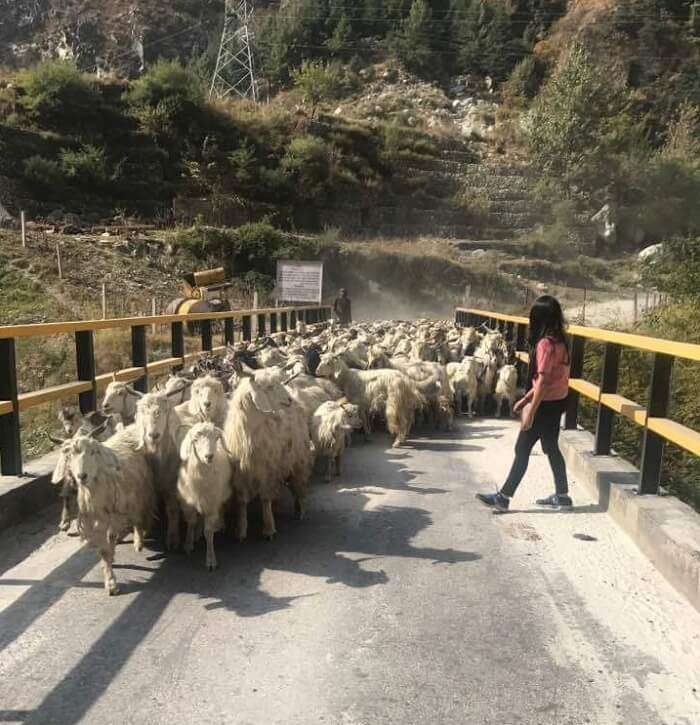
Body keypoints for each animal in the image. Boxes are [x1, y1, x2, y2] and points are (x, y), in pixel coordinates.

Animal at [176, 422, 234, 568]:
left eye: (216, 438)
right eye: (195, 440)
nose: (209, 456)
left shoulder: (212, 505)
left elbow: (208, 533)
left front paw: (210, 559)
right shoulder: (188, 504)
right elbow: (191, 522)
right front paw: (188, 544)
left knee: (221, 509)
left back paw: (221, 525)